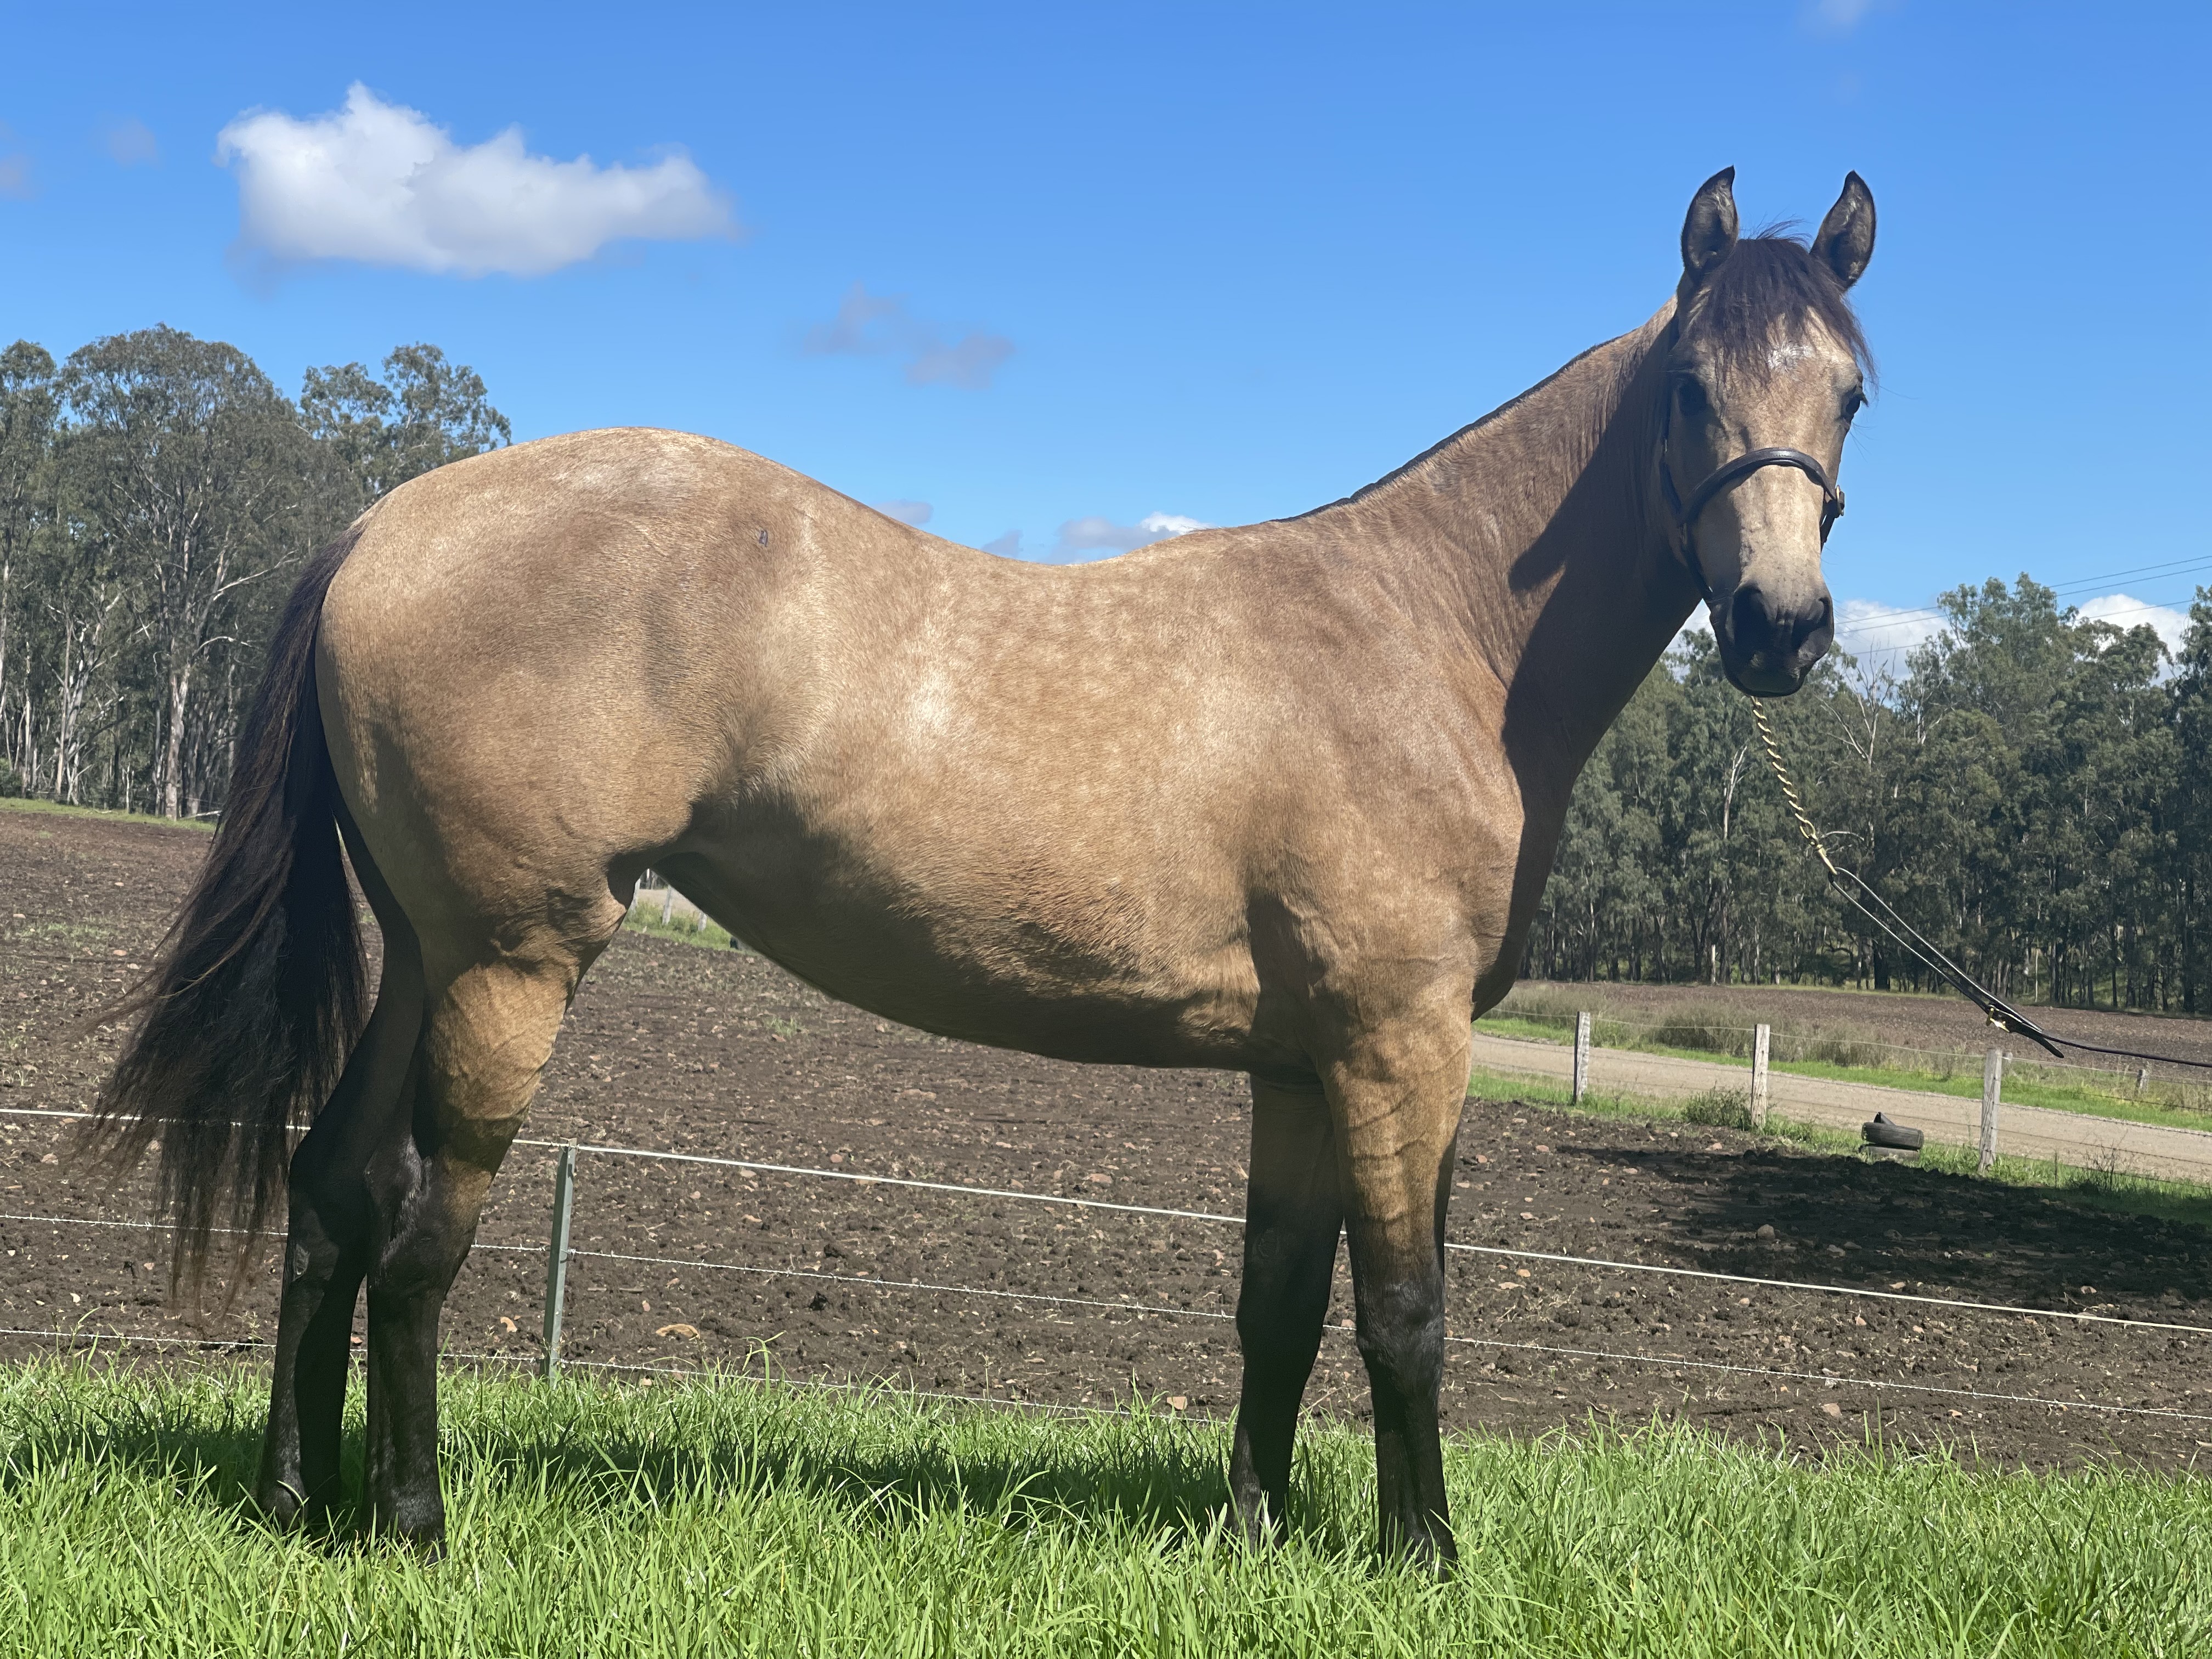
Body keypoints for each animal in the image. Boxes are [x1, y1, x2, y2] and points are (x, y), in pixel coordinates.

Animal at [92, 166, 1874, 1567]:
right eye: (1691, 386)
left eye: (1851, 390)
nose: (1782, 631)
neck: (1427, 633)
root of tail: (382, 524)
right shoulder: (1399, 1046)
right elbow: (1408, 1309)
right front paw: (1422, 1557)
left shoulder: (1300, 1065)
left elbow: (1280, 1302)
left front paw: (1254, 1533)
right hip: (512, 962)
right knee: (417, 1235)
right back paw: (412, 1524)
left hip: (426, 951)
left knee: (328, 1197)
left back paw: (295, 1501)